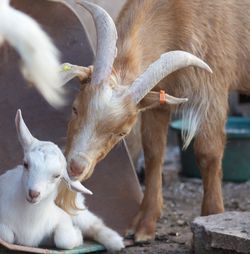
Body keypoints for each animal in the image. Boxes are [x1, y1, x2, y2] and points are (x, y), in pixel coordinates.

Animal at [0, 110, 124, 251]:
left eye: (57, 175)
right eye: (26, 164)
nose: (33, 193)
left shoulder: (63, 217)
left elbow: (64, 240)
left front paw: (77, 235)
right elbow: (7, 235)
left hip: (76, 208)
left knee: (94, 223)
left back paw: (116, 242)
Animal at [55, 0, 250, 242]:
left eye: (122, 132)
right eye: (75, 109)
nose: (75, 167)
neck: (179, 15)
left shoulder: (212, 89)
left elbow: (208, 153)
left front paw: (212, 216)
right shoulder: (157, 102)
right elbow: (153, 152)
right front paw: (144, 225)